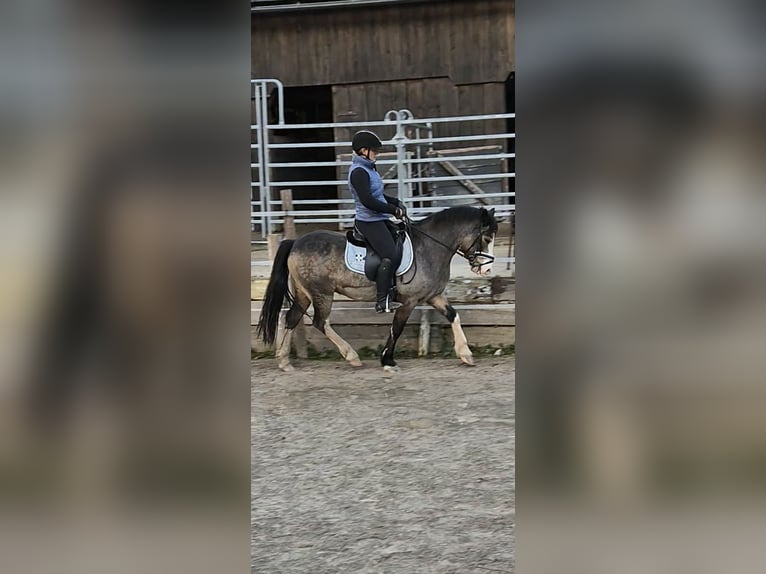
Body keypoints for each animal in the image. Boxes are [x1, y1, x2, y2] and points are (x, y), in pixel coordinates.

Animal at [255, 207, 500, 374]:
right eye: (487, 238)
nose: (487, 269)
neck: (430, 247)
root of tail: (295, 242)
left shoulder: (433, 296)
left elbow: (453, 315)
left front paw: (466, 354)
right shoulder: (409, 300)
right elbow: (397, 328)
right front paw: (388, 361)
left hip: (304, 293)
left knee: (290, 318)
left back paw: (284, 361)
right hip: (322, 293)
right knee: (319, 322)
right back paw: (351, 356)